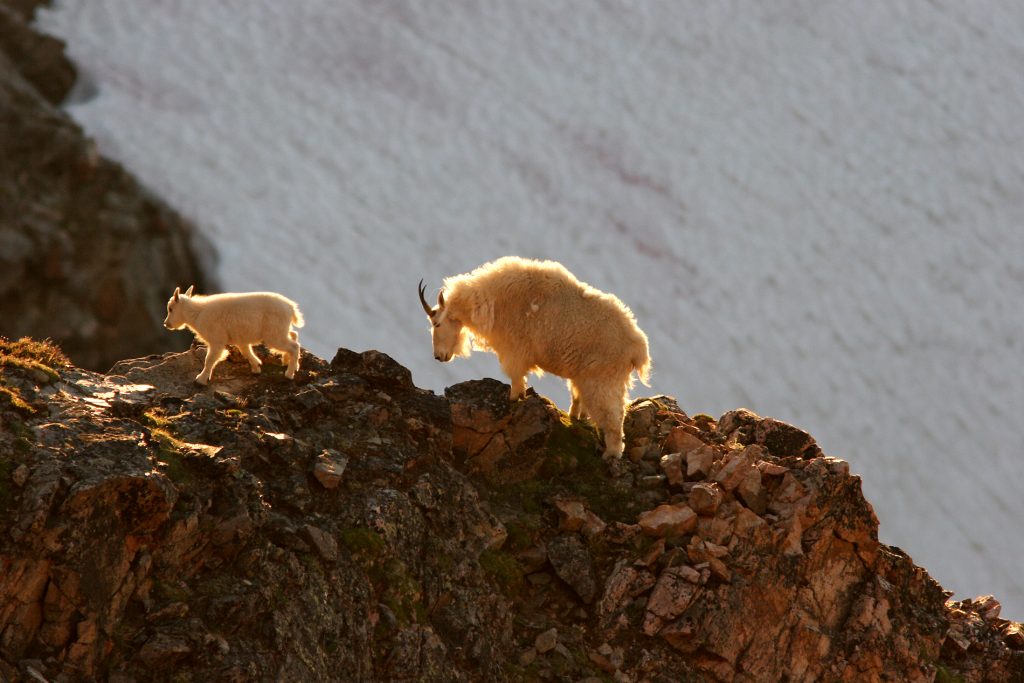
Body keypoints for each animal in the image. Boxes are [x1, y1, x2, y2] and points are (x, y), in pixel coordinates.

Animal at [163, 286, 303, 387]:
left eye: (170, 309)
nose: (166, 324)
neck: (197, 313)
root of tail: (291, 307)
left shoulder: (216, 340)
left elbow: (209, 360)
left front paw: (200, 380)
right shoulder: (241, 339)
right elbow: (246, 352)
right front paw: (256, 367)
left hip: (274, 335)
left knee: (294, 346)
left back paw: (289, 373)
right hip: (280, 330)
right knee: (294, 335)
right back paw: (288, 362)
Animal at [417, 255, 647, 458]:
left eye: (437, 323)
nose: (439, 356)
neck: (491, 300)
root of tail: (637, 348)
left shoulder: (515, 352)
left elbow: (516, 379)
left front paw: (512, 400)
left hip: (602, 380)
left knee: (613, 417)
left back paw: (611, 453)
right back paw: (576, 418)